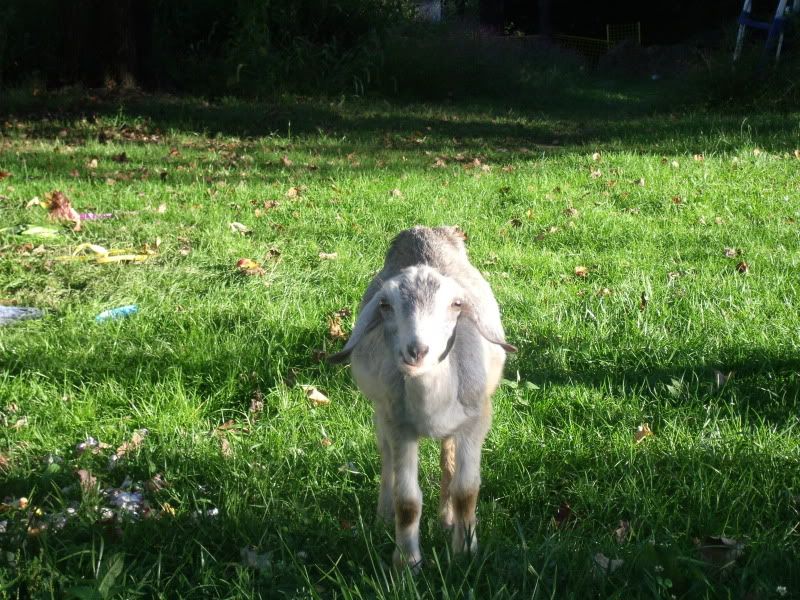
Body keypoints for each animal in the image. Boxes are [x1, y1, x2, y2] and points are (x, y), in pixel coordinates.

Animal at [329, 226, 516, 569]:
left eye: (456, 304)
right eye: (385, 305)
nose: (417, 350)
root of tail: (423, 230)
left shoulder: (476, 421)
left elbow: (466, 490)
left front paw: (465, 551)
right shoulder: (399, 425)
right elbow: (408, 501)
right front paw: (406, 562)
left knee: (447, 460)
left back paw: (447, 519)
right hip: (380, 412)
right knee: (386, 458)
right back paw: (383, 516)